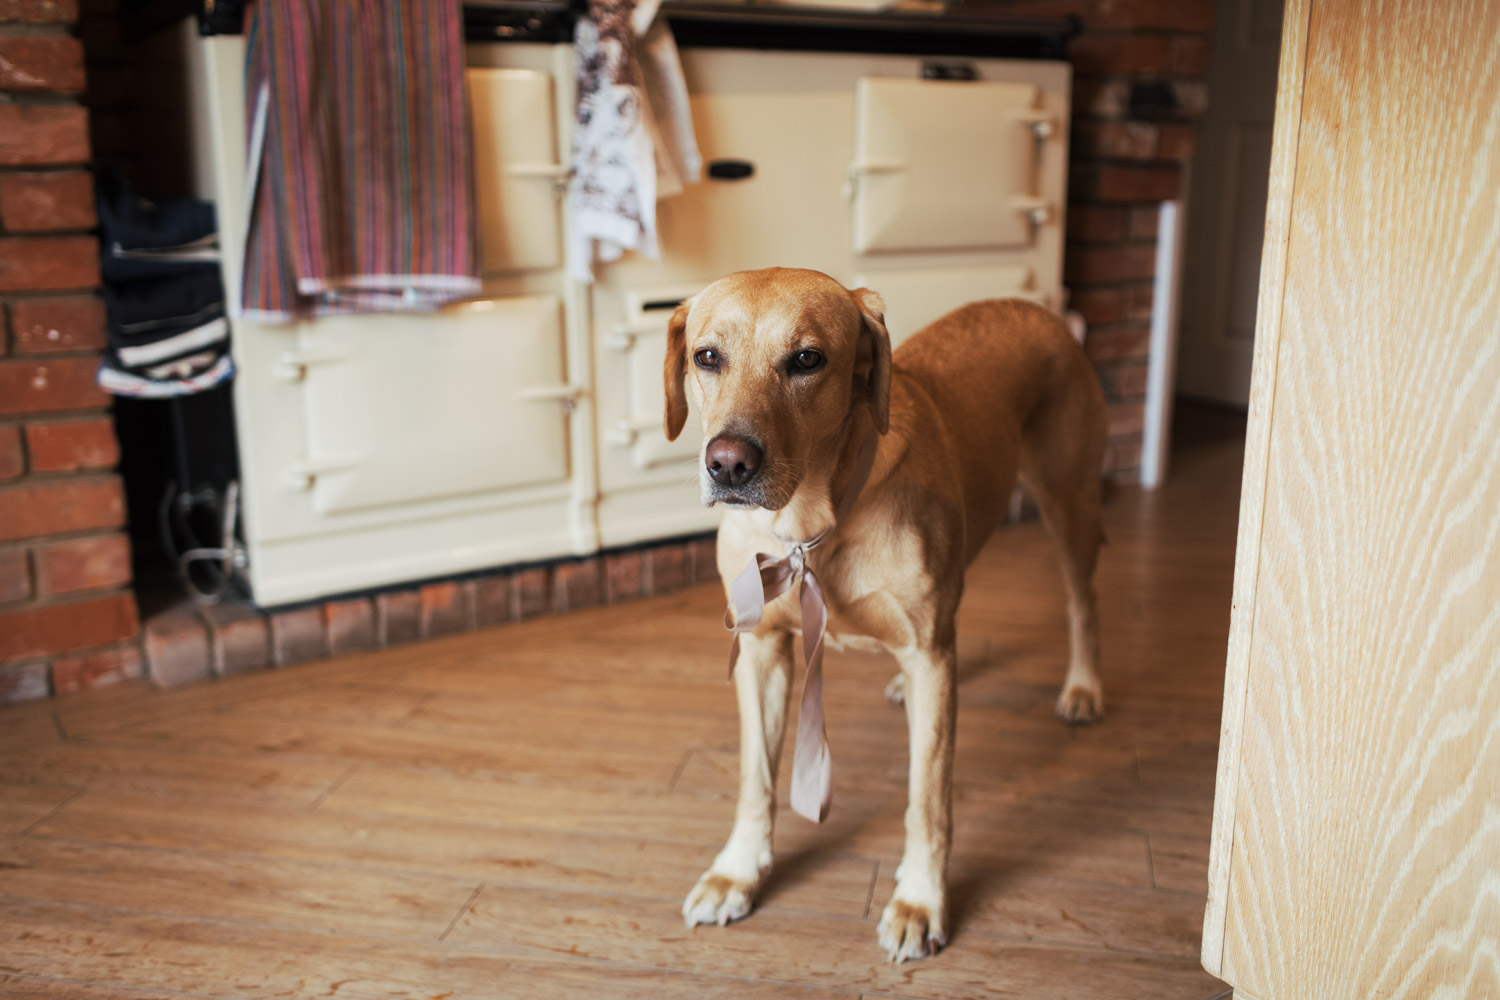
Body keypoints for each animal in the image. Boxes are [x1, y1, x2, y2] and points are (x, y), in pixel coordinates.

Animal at [663, 265, 1110, 959]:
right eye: (707, 357)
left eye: (807, 360)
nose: (728, 463)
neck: (808, 524)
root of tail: (1036, 307)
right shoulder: (762, 650)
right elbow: (755, 778)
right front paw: (737, 872)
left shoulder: (931, 655)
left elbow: (927, 798)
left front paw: (920, 901)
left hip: (1069, 504)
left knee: (1082, 600)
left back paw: (1084, 687)